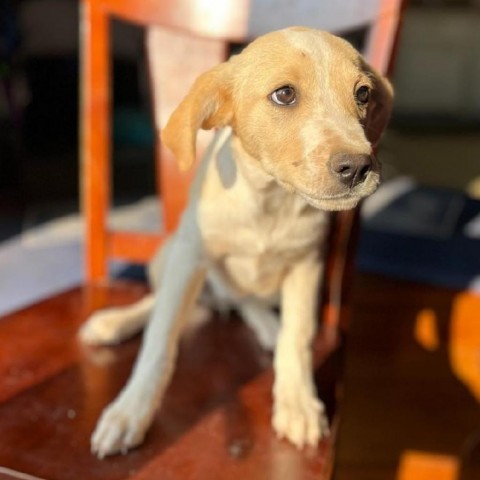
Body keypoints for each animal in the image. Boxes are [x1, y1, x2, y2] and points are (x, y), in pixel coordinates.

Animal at [79, 25, 394, 458]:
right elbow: (159, 341)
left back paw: (267, 326)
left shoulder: (307, 264)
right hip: (169, 257)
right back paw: (113, 322)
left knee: (248, 303)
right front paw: (130, 412)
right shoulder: (189, 258)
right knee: (162, 304)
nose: (359, 167)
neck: (267, 199)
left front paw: (297, 403)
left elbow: (298, 336)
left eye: (362, 94)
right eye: (284, 94)